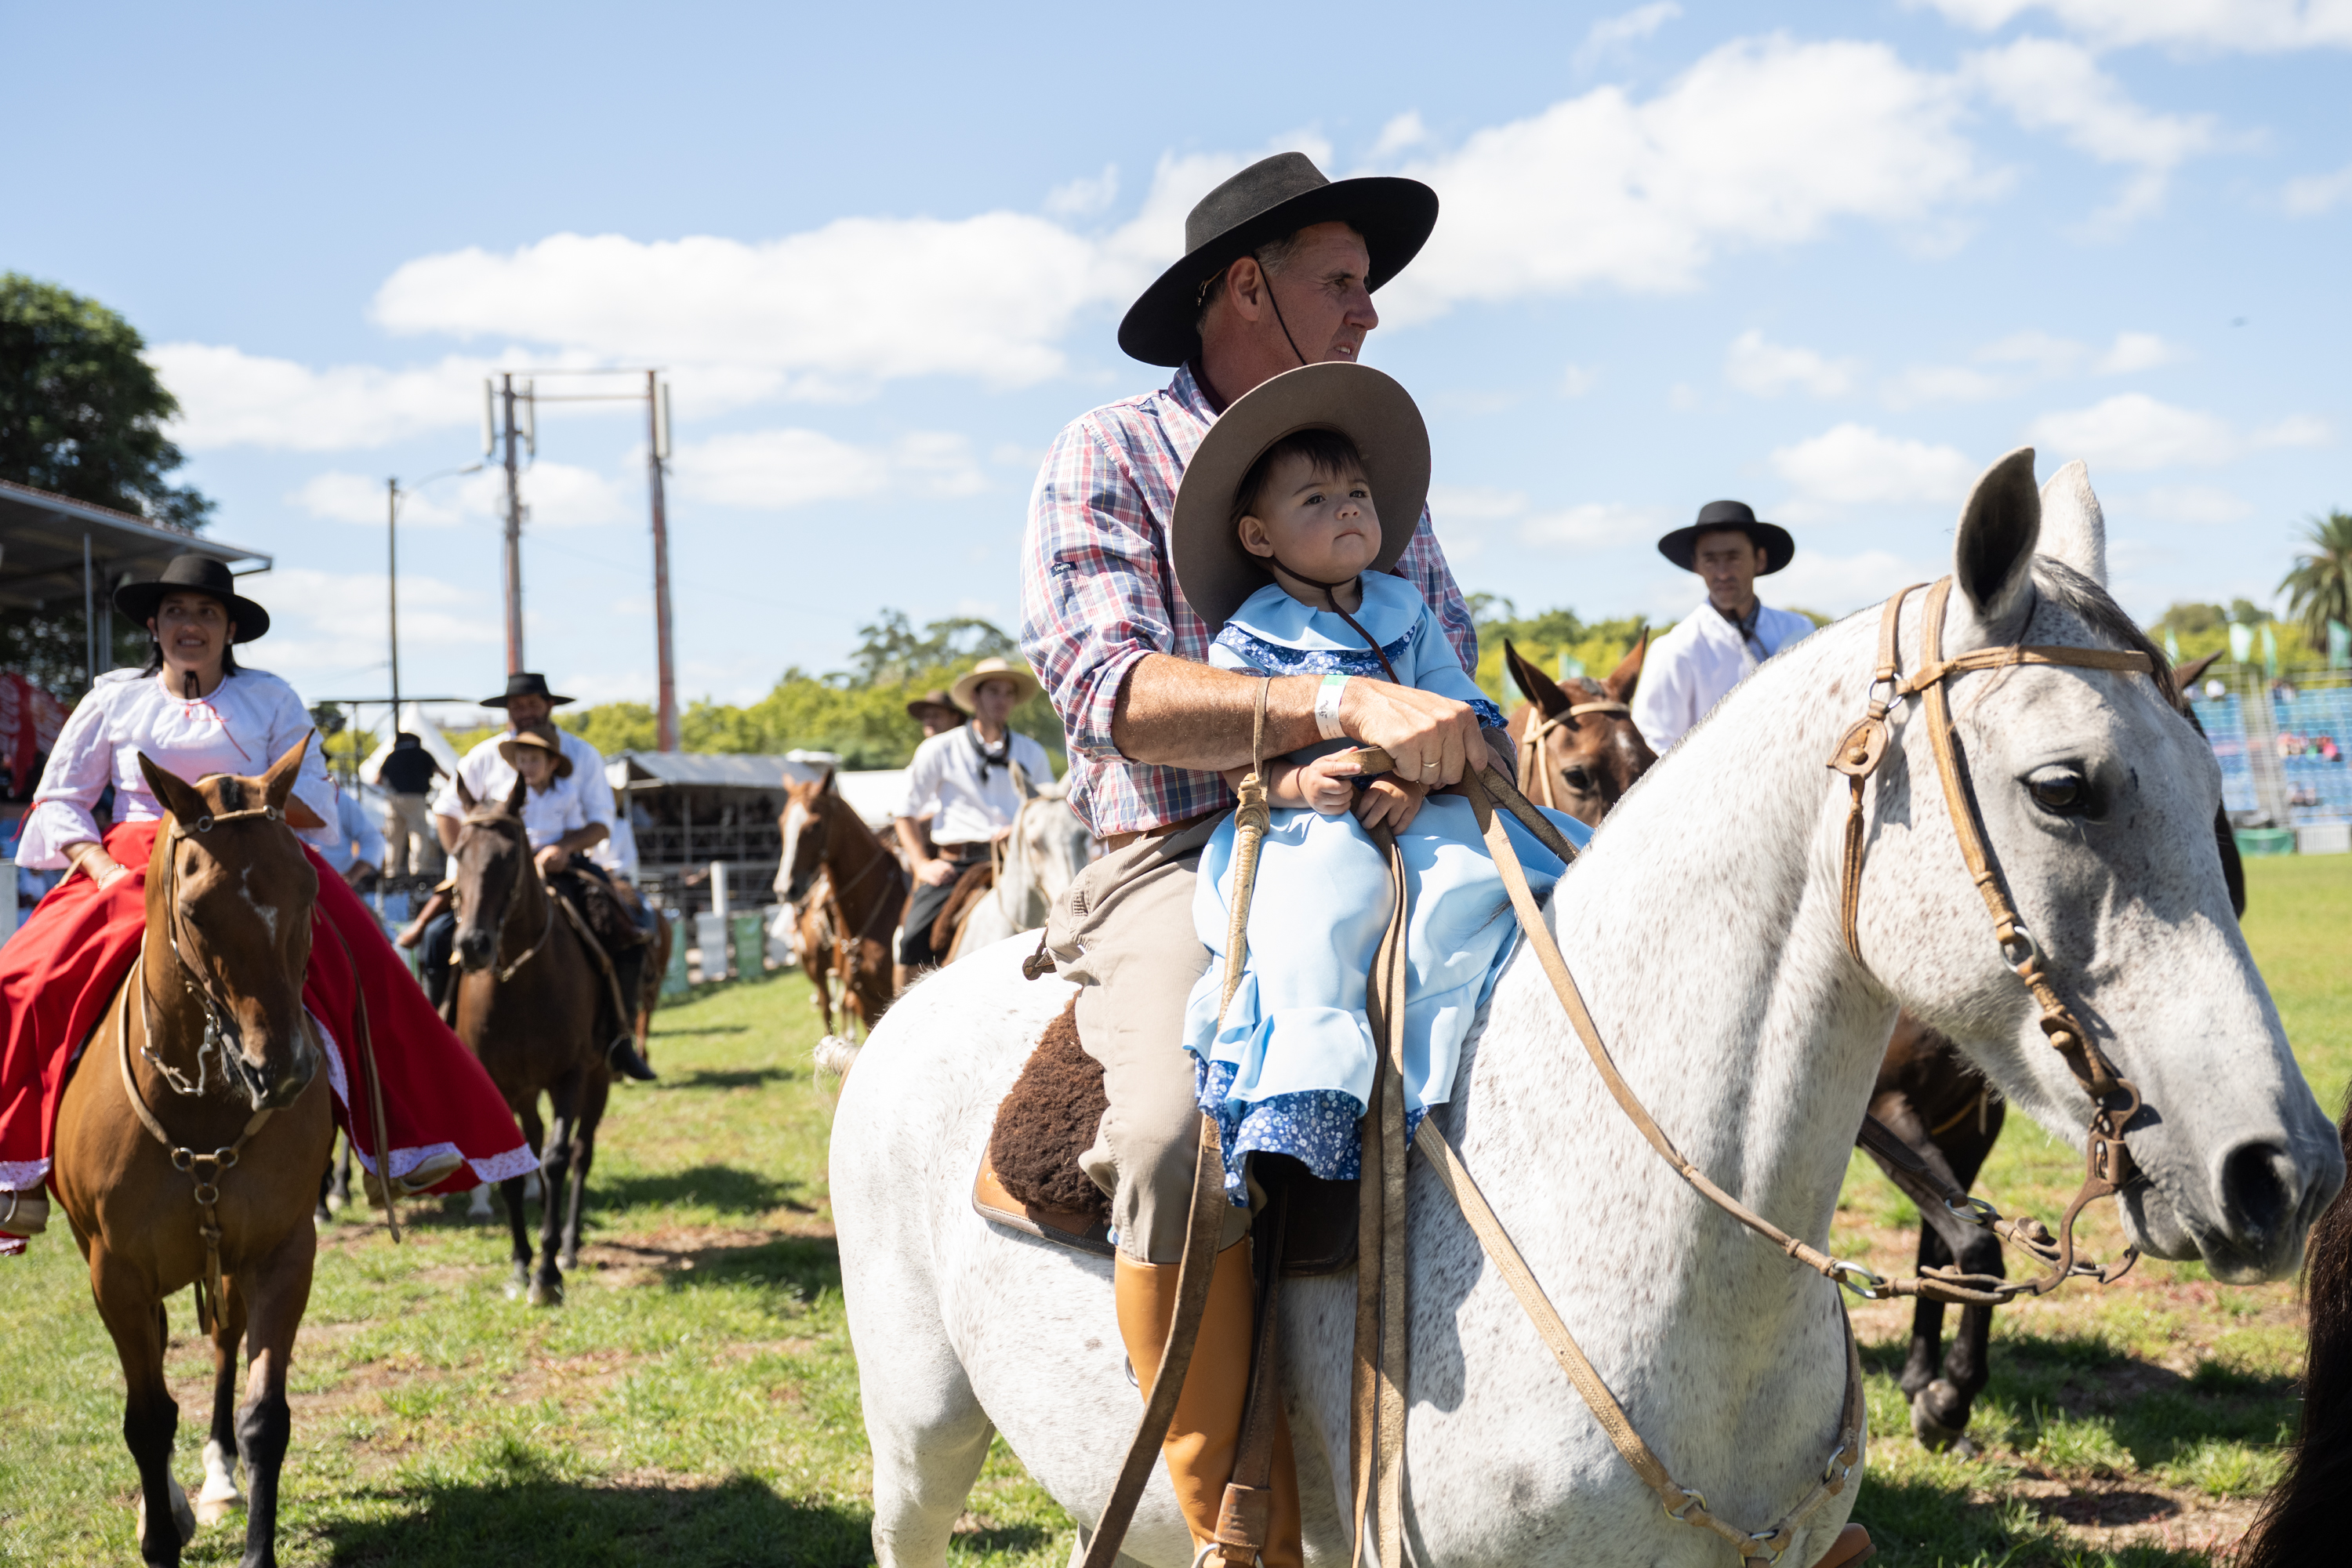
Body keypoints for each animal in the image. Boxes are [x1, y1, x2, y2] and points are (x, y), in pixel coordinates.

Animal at [53, 742, 336, 1568]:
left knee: (221, 1343)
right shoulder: (114, 1271)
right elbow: (147, 1419)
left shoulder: (282, 1252)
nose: (285, 1072)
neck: (203, 1102)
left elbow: (264, 1417)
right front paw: (158, 1533)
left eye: (308, 888)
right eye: (198, 908)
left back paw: (215, 1481)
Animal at [442, 780, 607, 1307]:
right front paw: (520, 1263)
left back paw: (570, 1247)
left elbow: (556, 1159)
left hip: (598, 1077)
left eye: (510, 855)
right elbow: (513, 1171)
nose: (473, 944)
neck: (521, 983)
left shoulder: (570, 1076)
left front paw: (547, 1272)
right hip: (526, 1090)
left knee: (581, 1152)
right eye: (459, 852)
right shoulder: (499, 1083)